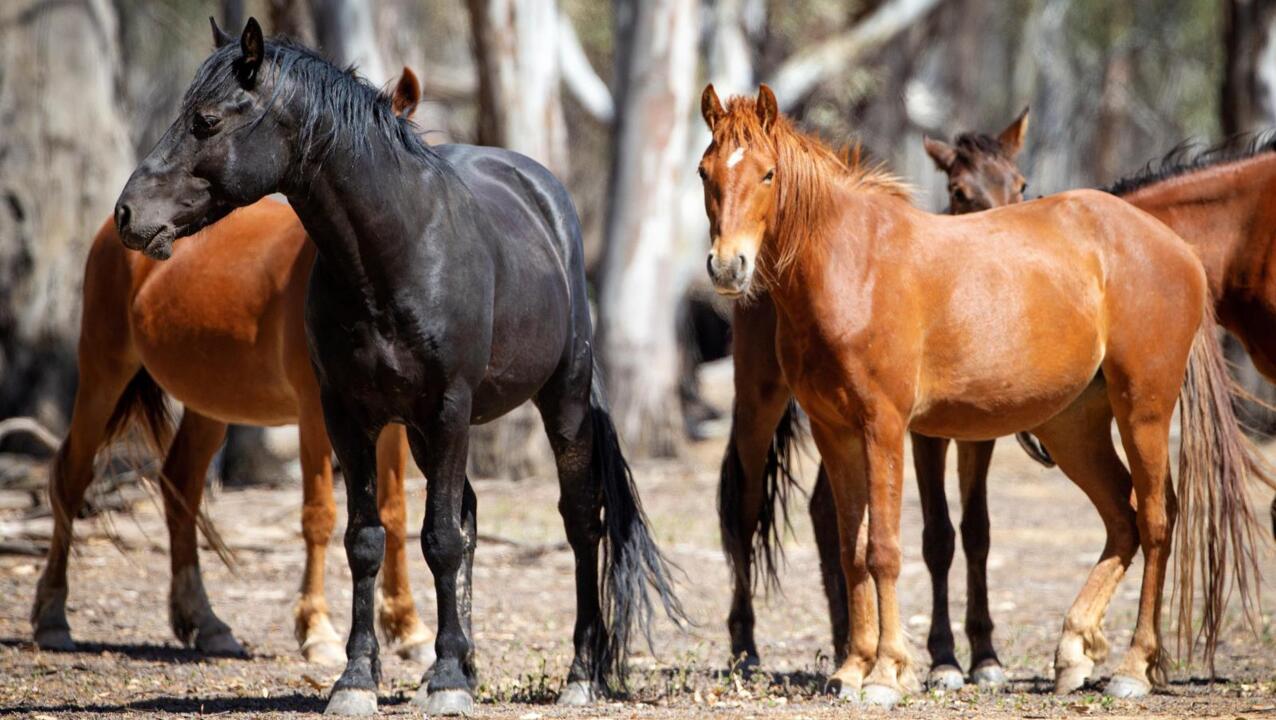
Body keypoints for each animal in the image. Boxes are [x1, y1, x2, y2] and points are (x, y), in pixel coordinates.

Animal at [32, 64, 433, 668]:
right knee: (73, 476)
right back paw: (53, 616)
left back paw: (206, 623)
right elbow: (319, 515)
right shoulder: (316, 416)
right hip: (103, 372)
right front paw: (316, 630)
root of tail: (114, 228)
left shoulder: (392, 424)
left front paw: (408, 629)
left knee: (180, 484)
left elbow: (394, 513)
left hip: (210, 403)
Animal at [114, 19, 683, 714]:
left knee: (579, 522)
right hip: (419, 432)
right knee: (469, 516)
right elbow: (367, 539)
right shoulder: (347, 415)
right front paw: (362, 678)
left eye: (207, 120)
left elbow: (437, 538)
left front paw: (443, 683)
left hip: (561, 401)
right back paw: (463, 660)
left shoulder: (449, 409)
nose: (127, 215)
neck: (394, 255)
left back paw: (579, 673)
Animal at [704, 85, 1270, 709]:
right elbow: (854, 549)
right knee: (1121, 517)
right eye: (707, 172)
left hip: (1142, 408)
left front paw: (887, 672)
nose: (728, 266)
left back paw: (1133, 666)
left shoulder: (885, 427)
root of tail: (1175, 248)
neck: (854, 268)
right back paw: (1073, 650)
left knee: (1155, 519)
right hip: (1071, 427)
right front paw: (853, 669)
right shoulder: (837, 432)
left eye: (768, 174)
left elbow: (884, 549)